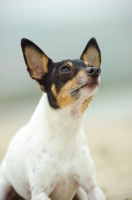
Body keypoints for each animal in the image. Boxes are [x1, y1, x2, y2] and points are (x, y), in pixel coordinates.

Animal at [0, 38, 105, 200]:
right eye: (65, 69)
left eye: (91, 66)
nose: (95, 70)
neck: (67, 130)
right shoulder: (40, 192)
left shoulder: (92, 188)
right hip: (3, 186)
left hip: (81, 192)